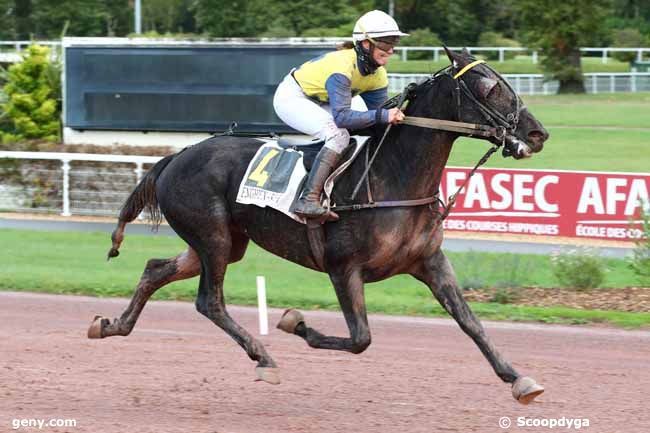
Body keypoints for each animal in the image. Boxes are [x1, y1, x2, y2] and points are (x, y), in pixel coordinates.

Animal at [87, 49, 548, 404]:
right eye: (488, 88)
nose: (537, 133)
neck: (392, 179)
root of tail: (174, 157)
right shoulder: (343, 267)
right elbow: (360, 339)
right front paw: (296, 323)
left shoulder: (429, 261)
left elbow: (471, 322)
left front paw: (518, 378)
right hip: (212, 237)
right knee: (209, 302)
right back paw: (264, 359)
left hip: (220, 242)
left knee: (155, 269)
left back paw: (111, 325)